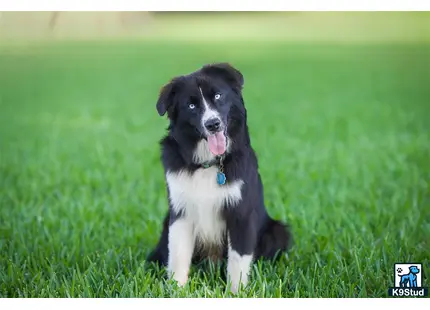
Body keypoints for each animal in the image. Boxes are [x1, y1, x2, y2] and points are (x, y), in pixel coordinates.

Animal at [148, 63, 292, 294]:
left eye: (218, 95)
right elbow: (178, 255)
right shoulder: (181, 212)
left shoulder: (241, 213)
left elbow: (238, 260)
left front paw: (236, 293)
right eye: (191, 105)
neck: (208, 164)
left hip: (277, 231)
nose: (213, 124)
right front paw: (176, 291)